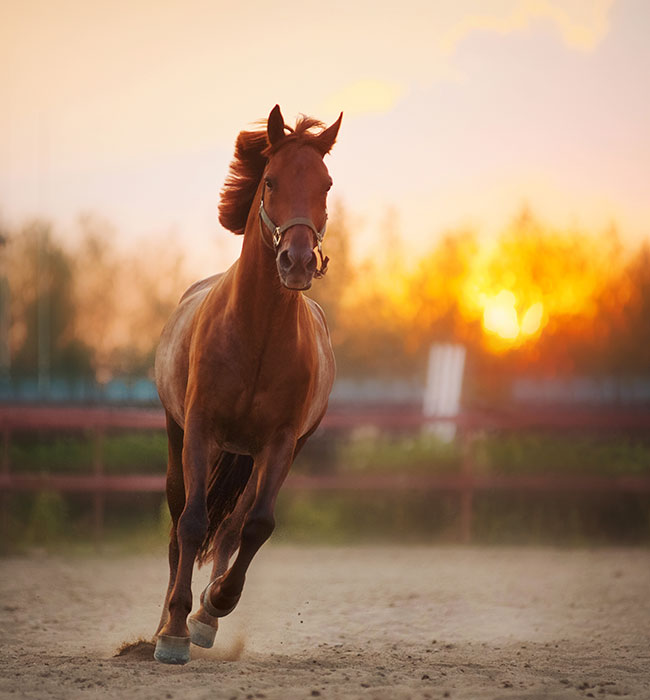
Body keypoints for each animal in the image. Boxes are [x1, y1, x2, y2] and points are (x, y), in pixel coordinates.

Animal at [151, 106, 340, 664]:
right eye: (271, 180)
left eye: (325, 184)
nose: (297, 261)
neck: (258, 332)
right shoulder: (199, 428)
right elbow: (193, 523)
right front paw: (173, 633)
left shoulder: (280, 442)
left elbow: (255, 525)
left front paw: (213, 606)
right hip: (180, 436)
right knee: (179, 526)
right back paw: (164, 621)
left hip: (262, 452)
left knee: (233, 527)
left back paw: (205, 615)